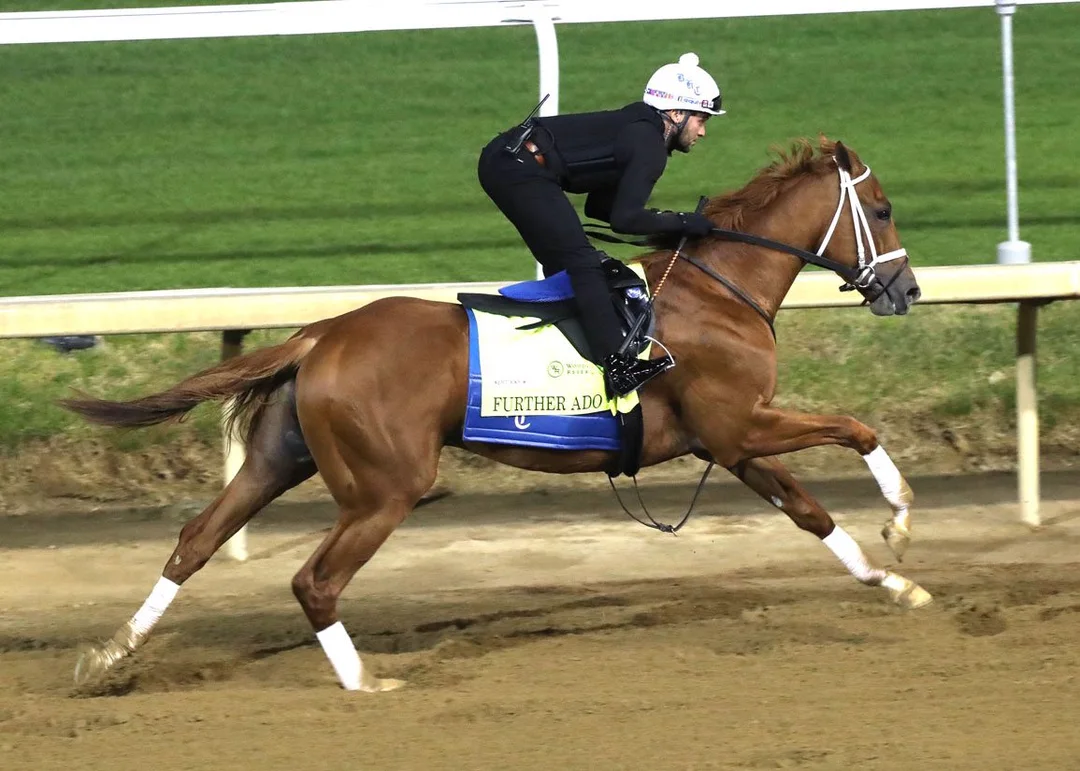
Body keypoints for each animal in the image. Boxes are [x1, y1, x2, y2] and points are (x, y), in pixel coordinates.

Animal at [63, 137, 927, 693]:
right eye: (883, 209)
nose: (908, 290)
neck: (719, 289)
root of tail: (322, 332)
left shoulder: (730, 438)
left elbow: (810, 512)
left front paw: (894, 583)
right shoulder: (741, 422)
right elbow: (859, 429)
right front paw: (900, 521)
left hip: (282, 457)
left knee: (195, 541)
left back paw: (108, 655)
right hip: (386, 486)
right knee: (314, 579)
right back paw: (364, 680)